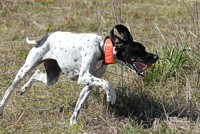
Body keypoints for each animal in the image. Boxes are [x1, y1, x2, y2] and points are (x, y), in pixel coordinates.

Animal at [0, 24, 159, 125]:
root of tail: (44, 37)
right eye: (139, 50)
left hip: (52, 77)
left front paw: (73, 124)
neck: (101, 49)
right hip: (25, 70)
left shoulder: (88, 84)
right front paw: (111, 96)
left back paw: (24, 89)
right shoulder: (84, 77)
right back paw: (2, 106)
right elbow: (107, 83)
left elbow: (79, 105)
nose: (156, 57)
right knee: (10, 89)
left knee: (37, 74)